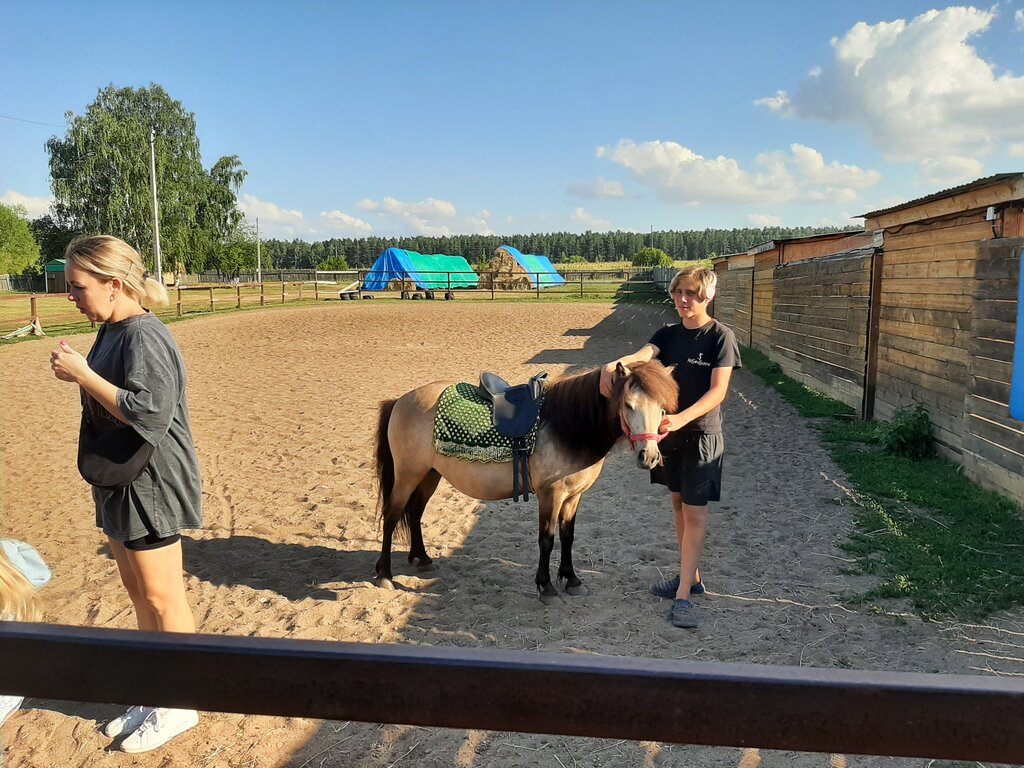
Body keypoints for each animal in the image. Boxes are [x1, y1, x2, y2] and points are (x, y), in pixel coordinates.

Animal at [374, 364, 679, 606]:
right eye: (628, 405)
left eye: (662, 408)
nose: (649, 456)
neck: (568, 428)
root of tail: (400, 400)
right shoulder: (550, 496)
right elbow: (547, 539)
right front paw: (546, 586)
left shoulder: (573, 497)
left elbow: (568, 536)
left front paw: (571, 579)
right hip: (408, 474)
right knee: (392, 515)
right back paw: (385, 575)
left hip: (429, 475)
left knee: (414, 512)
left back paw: (421, 558)